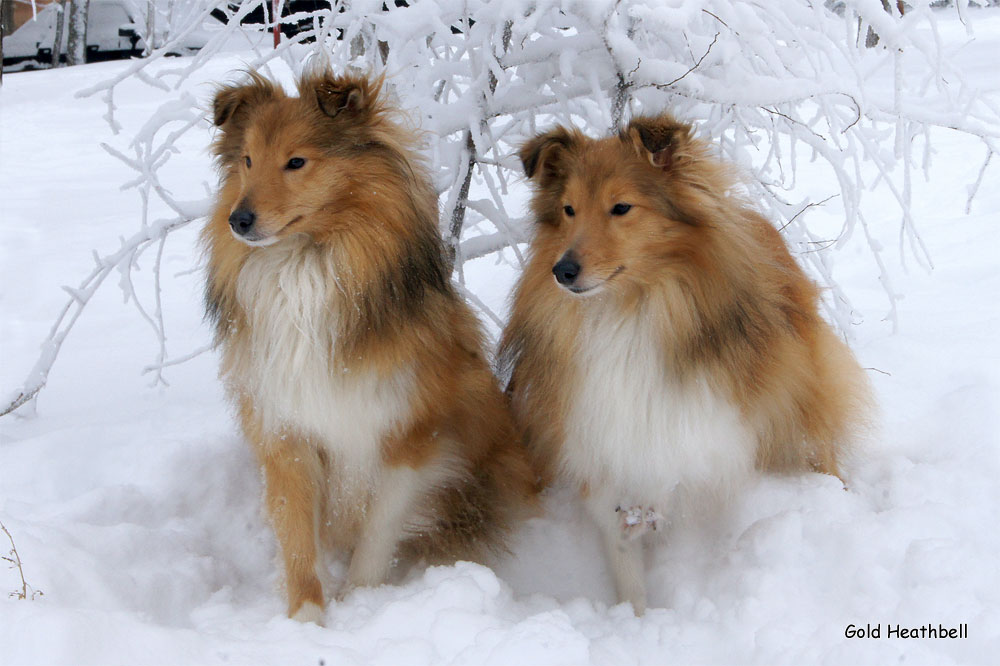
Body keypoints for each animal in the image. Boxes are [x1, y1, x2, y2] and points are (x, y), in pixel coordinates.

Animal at [202, 70, 540, 620]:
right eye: (247, 160)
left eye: (296, 161)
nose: (238, 220)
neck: (305, 271)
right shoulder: (287, 432)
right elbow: (297, 538)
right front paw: (307, 619)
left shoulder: (410, 436)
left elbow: (379, 532)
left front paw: (361, 603)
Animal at [504, 113, 872, 612]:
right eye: (568, 210)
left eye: (621, 207)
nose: (562, 271)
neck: (627, 311)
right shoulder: (599, 439)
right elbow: (623, 552)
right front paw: (635, 617)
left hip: (801, 393)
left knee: (818, 445)